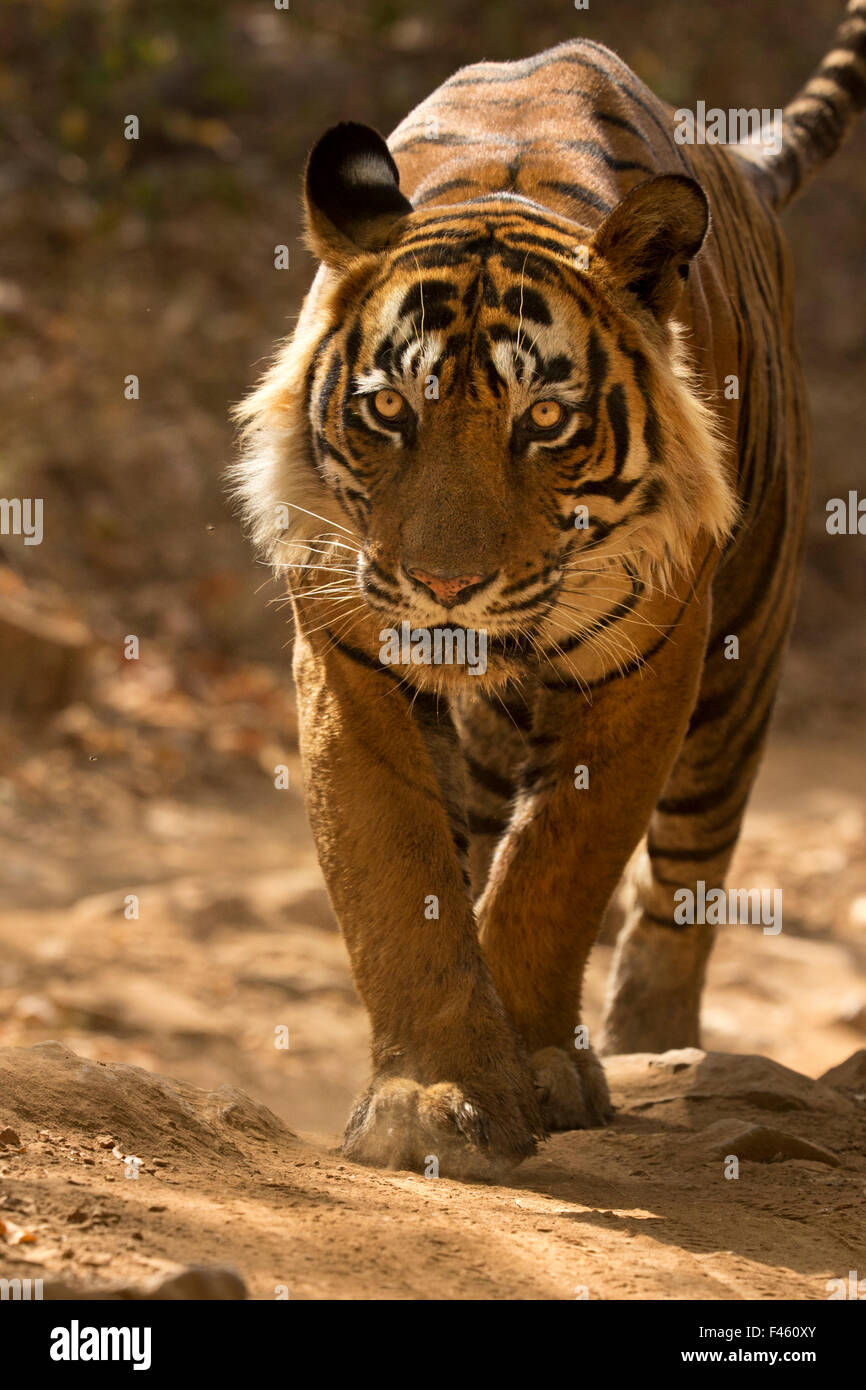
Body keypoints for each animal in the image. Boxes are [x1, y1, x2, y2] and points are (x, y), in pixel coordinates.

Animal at [233, 0, 866, 1178]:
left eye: (544, 421)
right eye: (389, 408)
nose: (443, 583)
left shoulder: (650, 662)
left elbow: (555, 871)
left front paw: (534, 1069)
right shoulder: (348, 657)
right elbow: (398, 875)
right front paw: (430, 1095)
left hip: (739, 675)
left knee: (679, 889)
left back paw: (652, 1054)